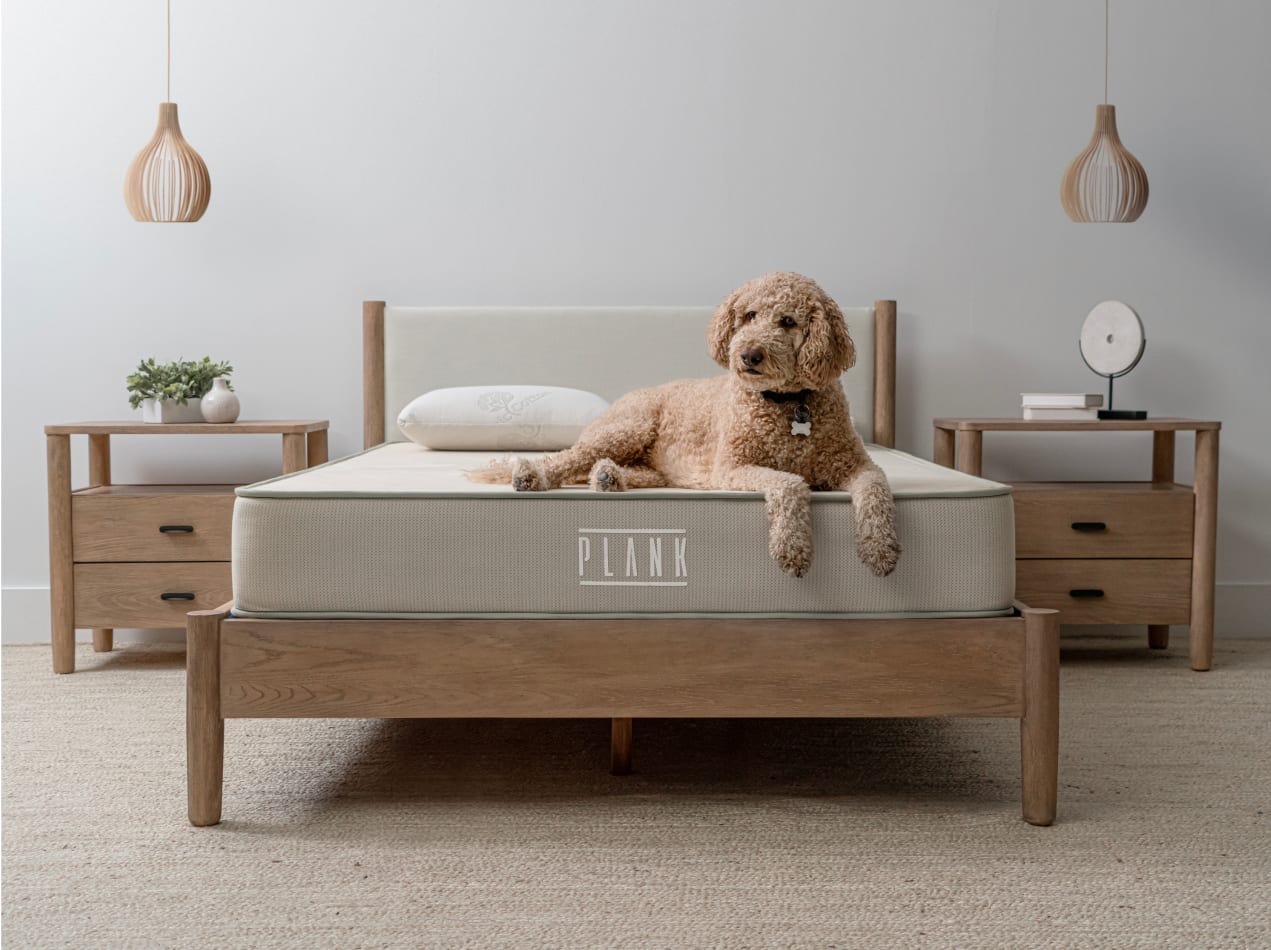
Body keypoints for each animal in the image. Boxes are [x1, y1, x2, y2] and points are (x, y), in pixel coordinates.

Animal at [472, 270, 899, 574]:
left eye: (788, 321)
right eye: (749, 315)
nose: (748, 355)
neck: (790, 404)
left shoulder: (856, 465)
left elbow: (877, 490)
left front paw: (880, 549)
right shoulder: (732, 467)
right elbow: (791, 484)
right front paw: (792, 548)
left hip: (652, 460)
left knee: (623, 470)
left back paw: (610, 477)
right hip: (630, 427)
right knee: (567, 459)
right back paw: (532, 474)